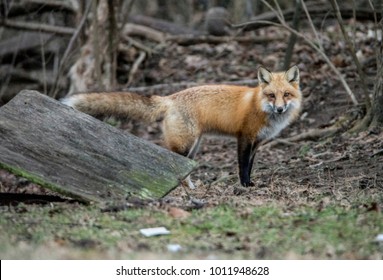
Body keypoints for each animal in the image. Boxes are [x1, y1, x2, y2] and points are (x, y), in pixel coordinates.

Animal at [61, 66, 302, 188]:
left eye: (286, 95)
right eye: (271, 95)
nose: (280, 109)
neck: (260, 106)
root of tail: (170, 98)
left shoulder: (257, 142)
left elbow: (250, 166)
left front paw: (251, 182)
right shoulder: (244, 137)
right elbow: (243, 166)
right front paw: (244, 185)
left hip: (194, 146)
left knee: (184, 166)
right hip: (185, 144)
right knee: (172, 162)